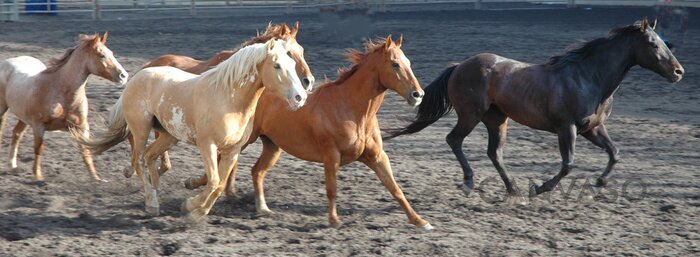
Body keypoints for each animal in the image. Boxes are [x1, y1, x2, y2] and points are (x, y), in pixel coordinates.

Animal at [0, 32, 129, 180]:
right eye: (101, 55)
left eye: (111, 53)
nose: (124, 76)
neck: (61, 92)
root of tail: (10, 61)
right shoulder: (39, 125)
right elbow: (39, 148)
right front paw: (37, 176)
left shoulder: (81, 126)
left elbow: (86, 150)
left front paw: (95, 178)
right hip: (4, 110)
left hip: (24, 117)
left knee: (16, 133)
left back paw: (12, 165)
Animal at [72, 38, 308, 222]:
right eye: (277, 65)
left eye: (291, 62)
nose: (300, 97)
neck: (228, 98)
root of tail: (135, 77)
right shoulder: (208, 145)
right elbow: (213, 181)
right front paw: (191, 208)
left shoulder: (232, 150)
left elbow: (220, 185)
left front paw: (195, 210)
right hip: (141, 130)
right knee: (138, 161)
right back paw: (152, 203)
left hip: (168, 136)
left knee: (150, 156)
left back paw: (155, 193)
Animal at [185, 35, 432, 228]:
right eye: (395, 64)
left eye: (408, 62)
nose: (418, 95)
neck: (351, 109)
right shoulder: (331, 154)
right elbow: (332, 189)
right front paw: (334, 220)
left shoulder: (377, 156)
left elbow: (395, 188)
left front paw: (420, 221)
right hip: (245, 141)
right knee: (220, 164)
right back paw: (193, 188)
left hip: (272, 146)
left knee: (256, 171)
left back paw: (262, 208)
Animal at [382, 19, 684, 199]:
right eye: (651, 43)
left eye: (665, 42)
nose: (678, 72)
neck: (588, 77)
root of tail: (459, 66)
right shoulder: (567, 128)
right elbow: (568, 164)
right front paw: (540, 188)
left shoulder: (593, 128)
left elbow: (615, 152)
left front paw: (601, 182)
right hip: (471, 115)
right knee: (454, 140)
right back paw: (470, 182)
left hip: (497, 119)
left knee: (494, 153)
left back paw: (512, 188)